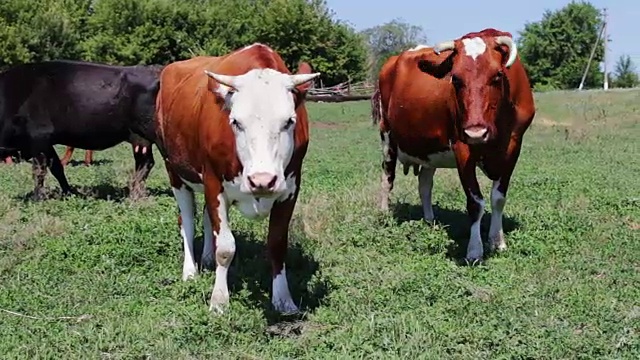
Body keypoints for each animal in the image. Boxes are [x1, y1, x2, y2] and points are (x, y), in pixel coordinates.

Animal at [0, 59, 162, 200]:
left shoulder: (38, 139)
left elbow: (39, 170)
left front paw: (37, 197)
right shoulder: (46, 144)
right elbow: (57, 168)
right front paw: (68, 192)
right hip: (139, 139)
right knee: (145, 163)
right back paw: (135, 192)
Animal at [152, 42, 318, 314]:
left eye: (289, 121)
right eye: (235, 122)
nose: (262, 180)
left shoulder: (291, 188)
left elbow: (277, 244)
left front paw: (283, 300)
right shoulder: (213, 182)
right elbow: (226, 247)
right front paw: (219, 301)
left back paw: (206, 258)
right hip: (174, 170)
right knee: (186, 220)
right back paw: (190, 271)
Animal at [372, 28, 536, 262]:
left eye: (497, 75)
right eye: (456, 79)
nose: (476, 132)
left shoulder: (514, 147)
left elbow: (498, 198)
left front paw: (497, 241)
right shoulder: (462, 148)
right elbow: (475, 203)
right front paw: (474, 251)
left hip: (428, 149)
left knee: (424, 184)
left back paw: (430, 221)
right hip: (387, 136)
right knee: (387, 179)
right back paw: (385, 214)